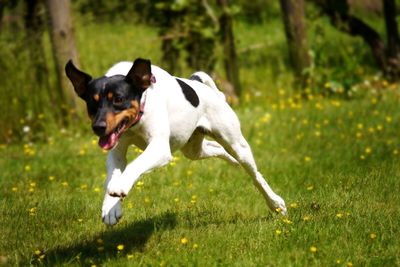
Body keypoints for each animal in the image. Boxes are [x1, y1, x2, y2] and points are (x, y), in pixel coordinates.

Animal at [64, 58, 286, 226]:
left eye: (118, 99)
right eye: (92, 104)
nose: (98, 127)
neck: (137, 121)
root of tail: (206, 89)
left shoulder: (160, 149)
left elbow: (134, 166)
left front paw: (120, 187)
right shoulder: (116, 151)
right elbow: (113, 175)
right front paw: (111, 208)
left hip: (236, 143)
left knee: (255, 175)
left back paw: (275, 203)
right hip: (193, 148)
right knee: (216, 149)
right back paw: (232, 162)